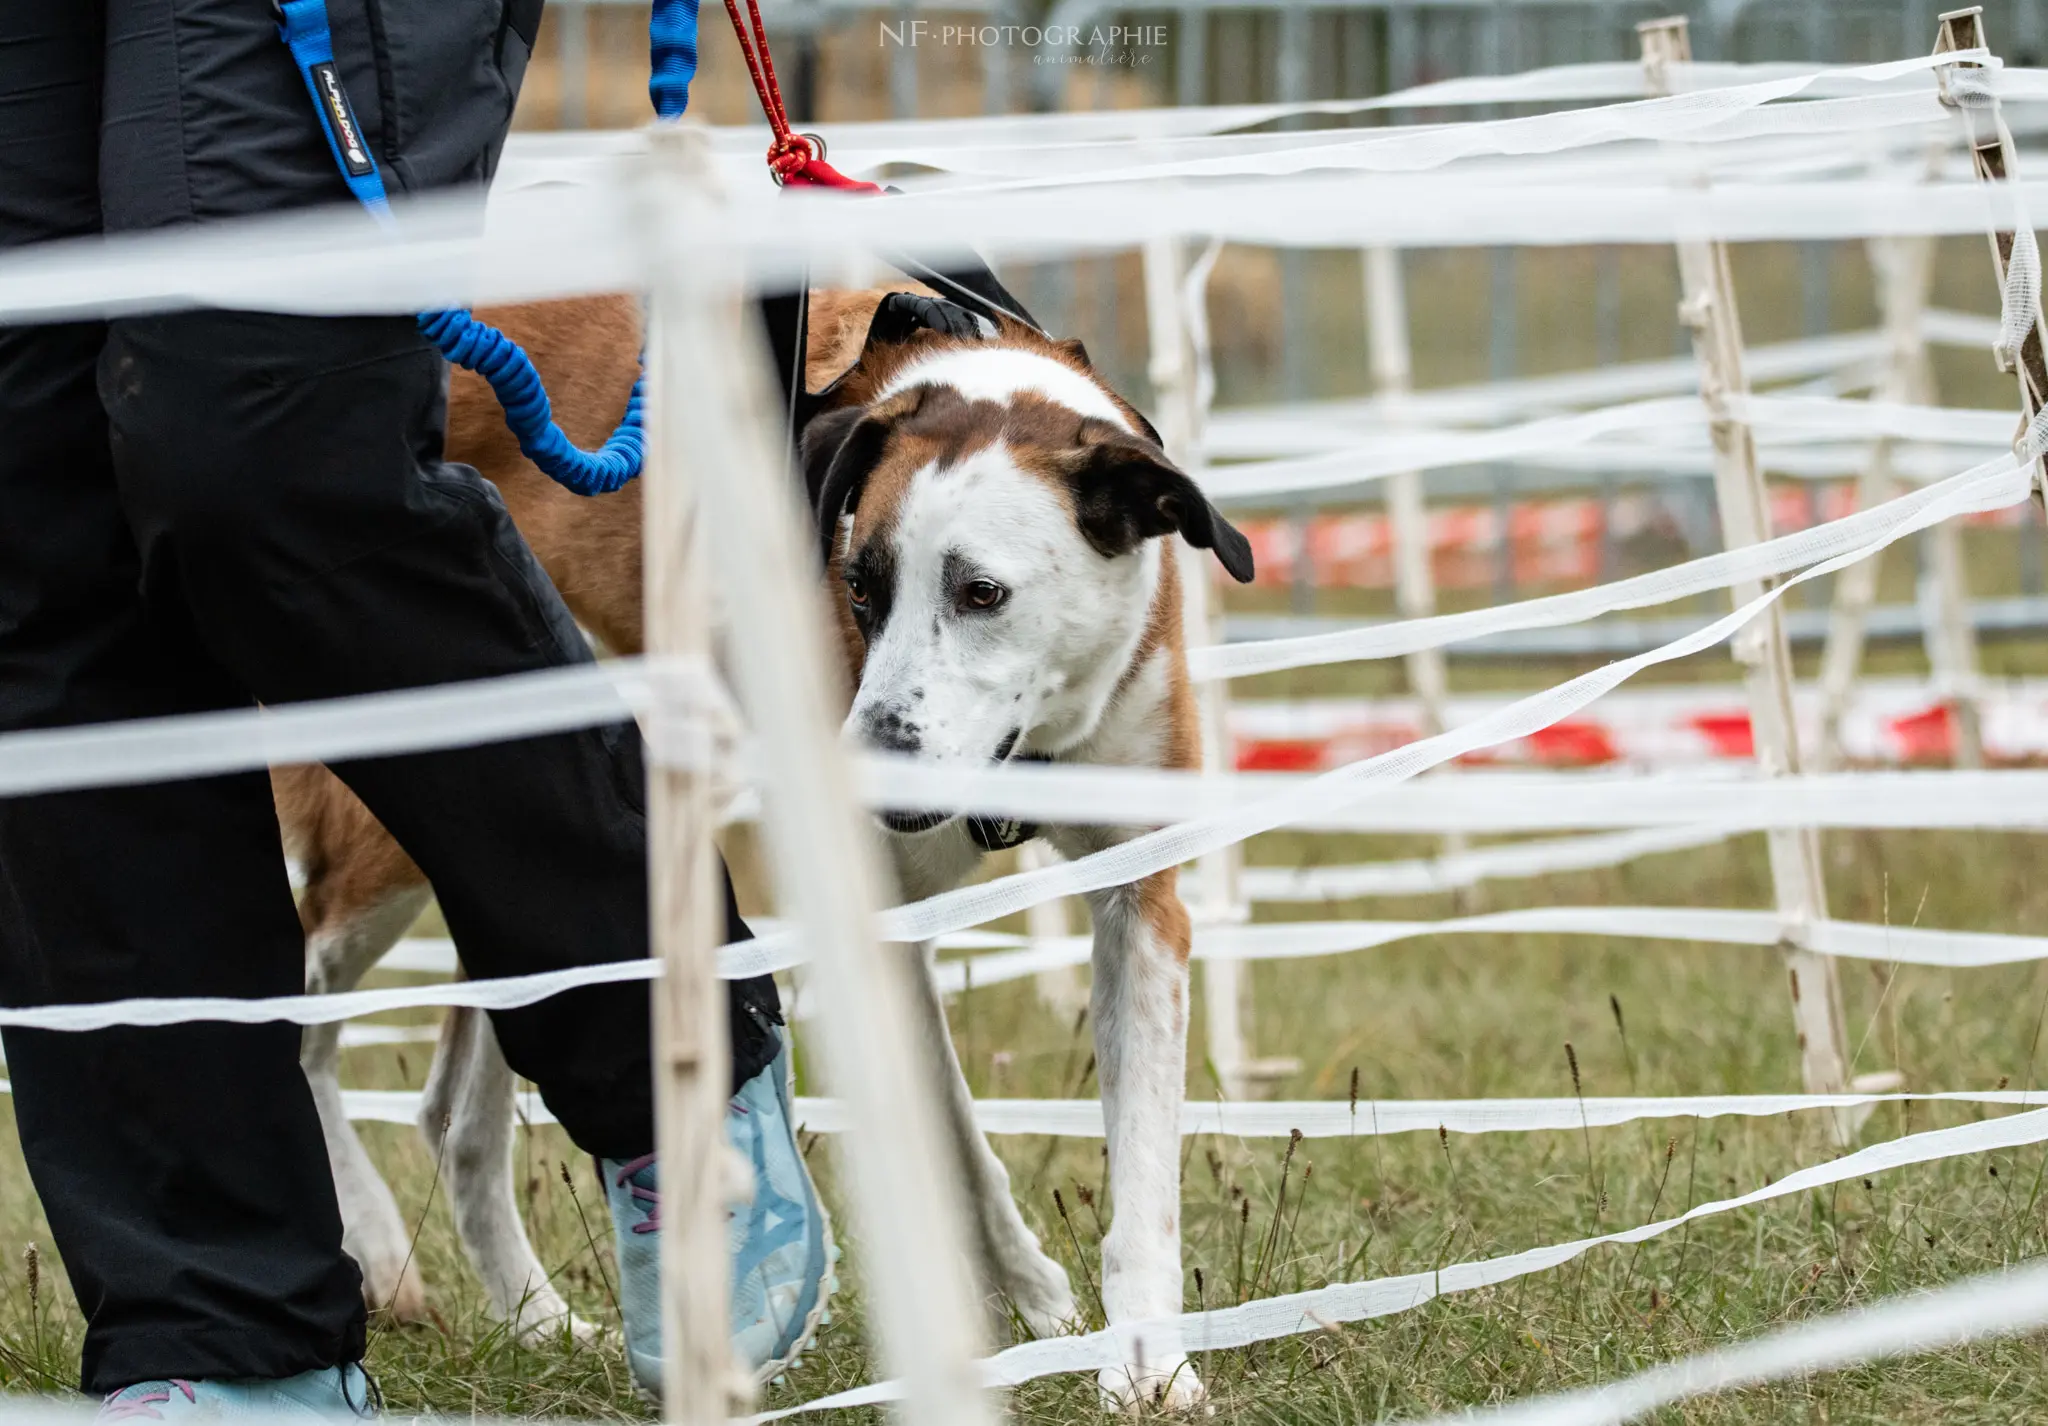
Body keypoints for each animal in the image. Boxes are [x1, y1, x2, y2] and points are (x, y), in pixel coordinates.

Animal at [280, 286, 1253, 1401]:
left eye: (982, 593)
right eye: (860, 587)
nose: (872, 762)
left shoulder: (1141, 896)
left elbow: (1143, 1171)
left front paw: (1145, 1365)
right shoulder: (875, 916)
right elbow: (958, 1143)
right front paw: (1030, 1292)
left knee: (455, 1108)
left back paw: (539, 1320)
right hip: (391, 837)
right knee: (296, 1019)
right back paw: (376, 1248)